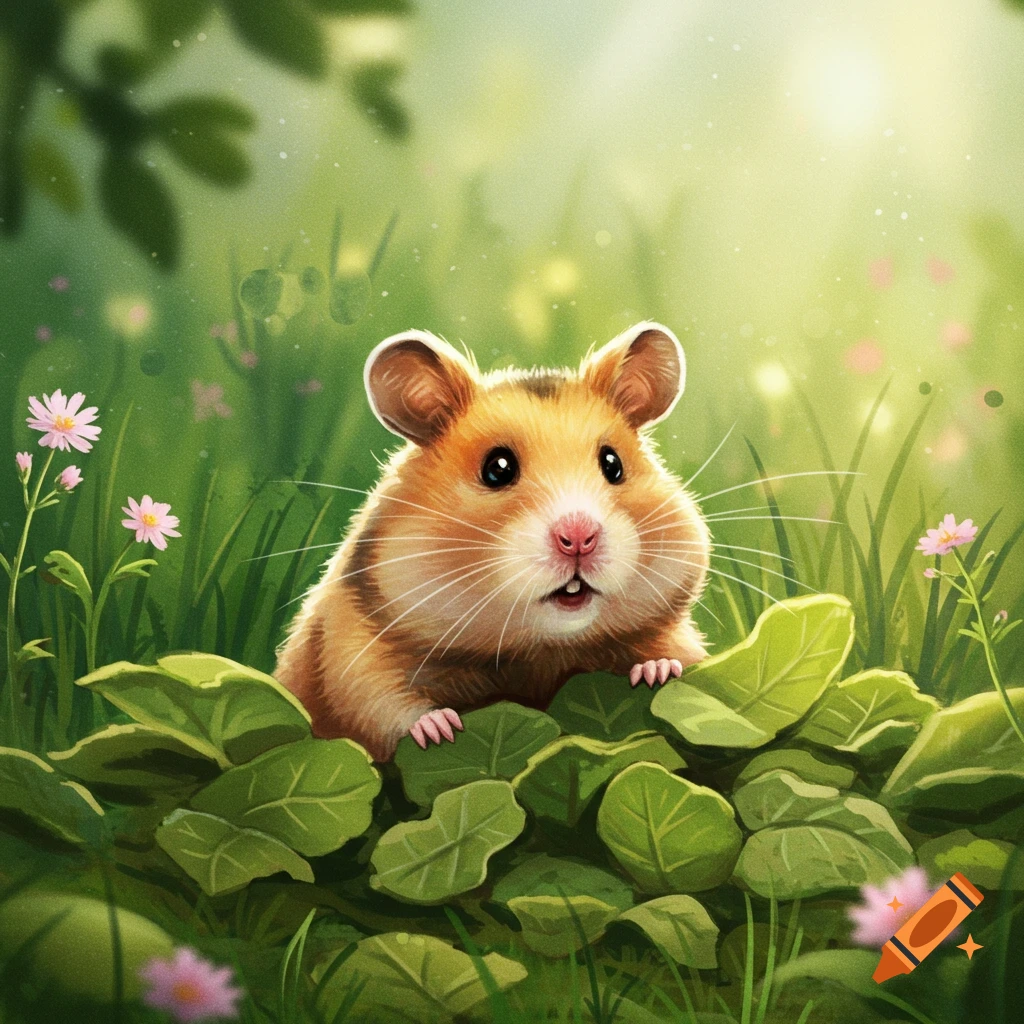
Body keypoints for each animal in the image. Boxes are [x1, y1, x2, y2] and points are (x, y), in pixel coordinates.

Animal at [274, 321, 710, 761]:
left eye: (612, 464)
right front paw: (441, 730)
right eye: (497, 468)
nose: (578, 539)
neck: (540, 651)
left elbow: (682, 659)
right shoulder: (351, 646)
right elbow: (381, 703)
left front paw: (658, 672)